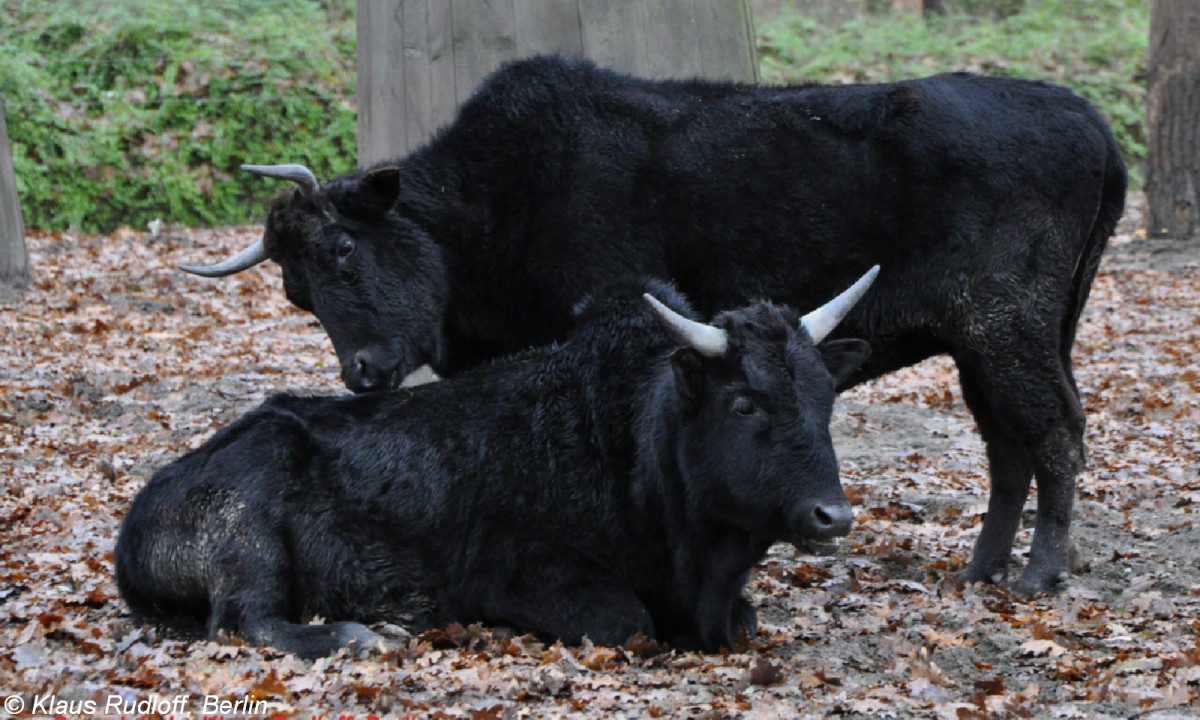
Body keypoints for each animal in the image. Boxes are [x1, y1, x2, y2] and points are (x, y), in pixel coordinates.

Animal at [117, 272, 878, 662]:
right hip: (249, 541)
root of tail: (136, 524)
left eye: (825, 397)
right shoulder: (512, 577)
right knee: (244, 622)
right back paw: (359, 634)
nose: (832, 515)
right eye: (745, 402)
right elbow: (627, 619)